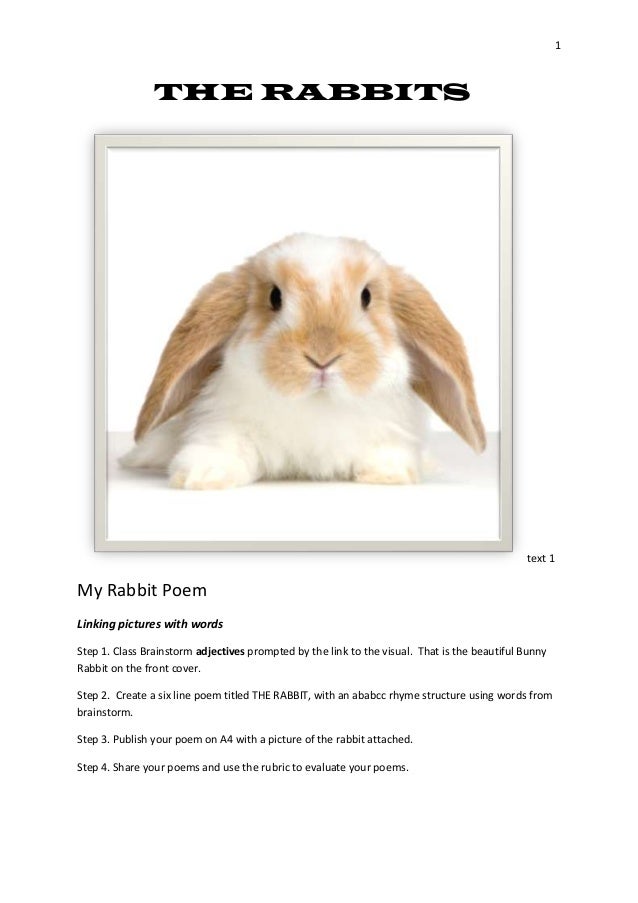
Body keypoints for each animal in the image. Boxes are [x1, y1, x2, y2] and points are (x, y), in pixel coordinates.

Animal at [121, 233, 486, 489]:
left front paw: (389, 474)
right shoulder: (222, 423)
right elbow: (219, 448)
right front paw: (203, 475)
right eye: (274, 297)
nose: (322, 356)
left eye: (366, 296)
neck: (317, 405)